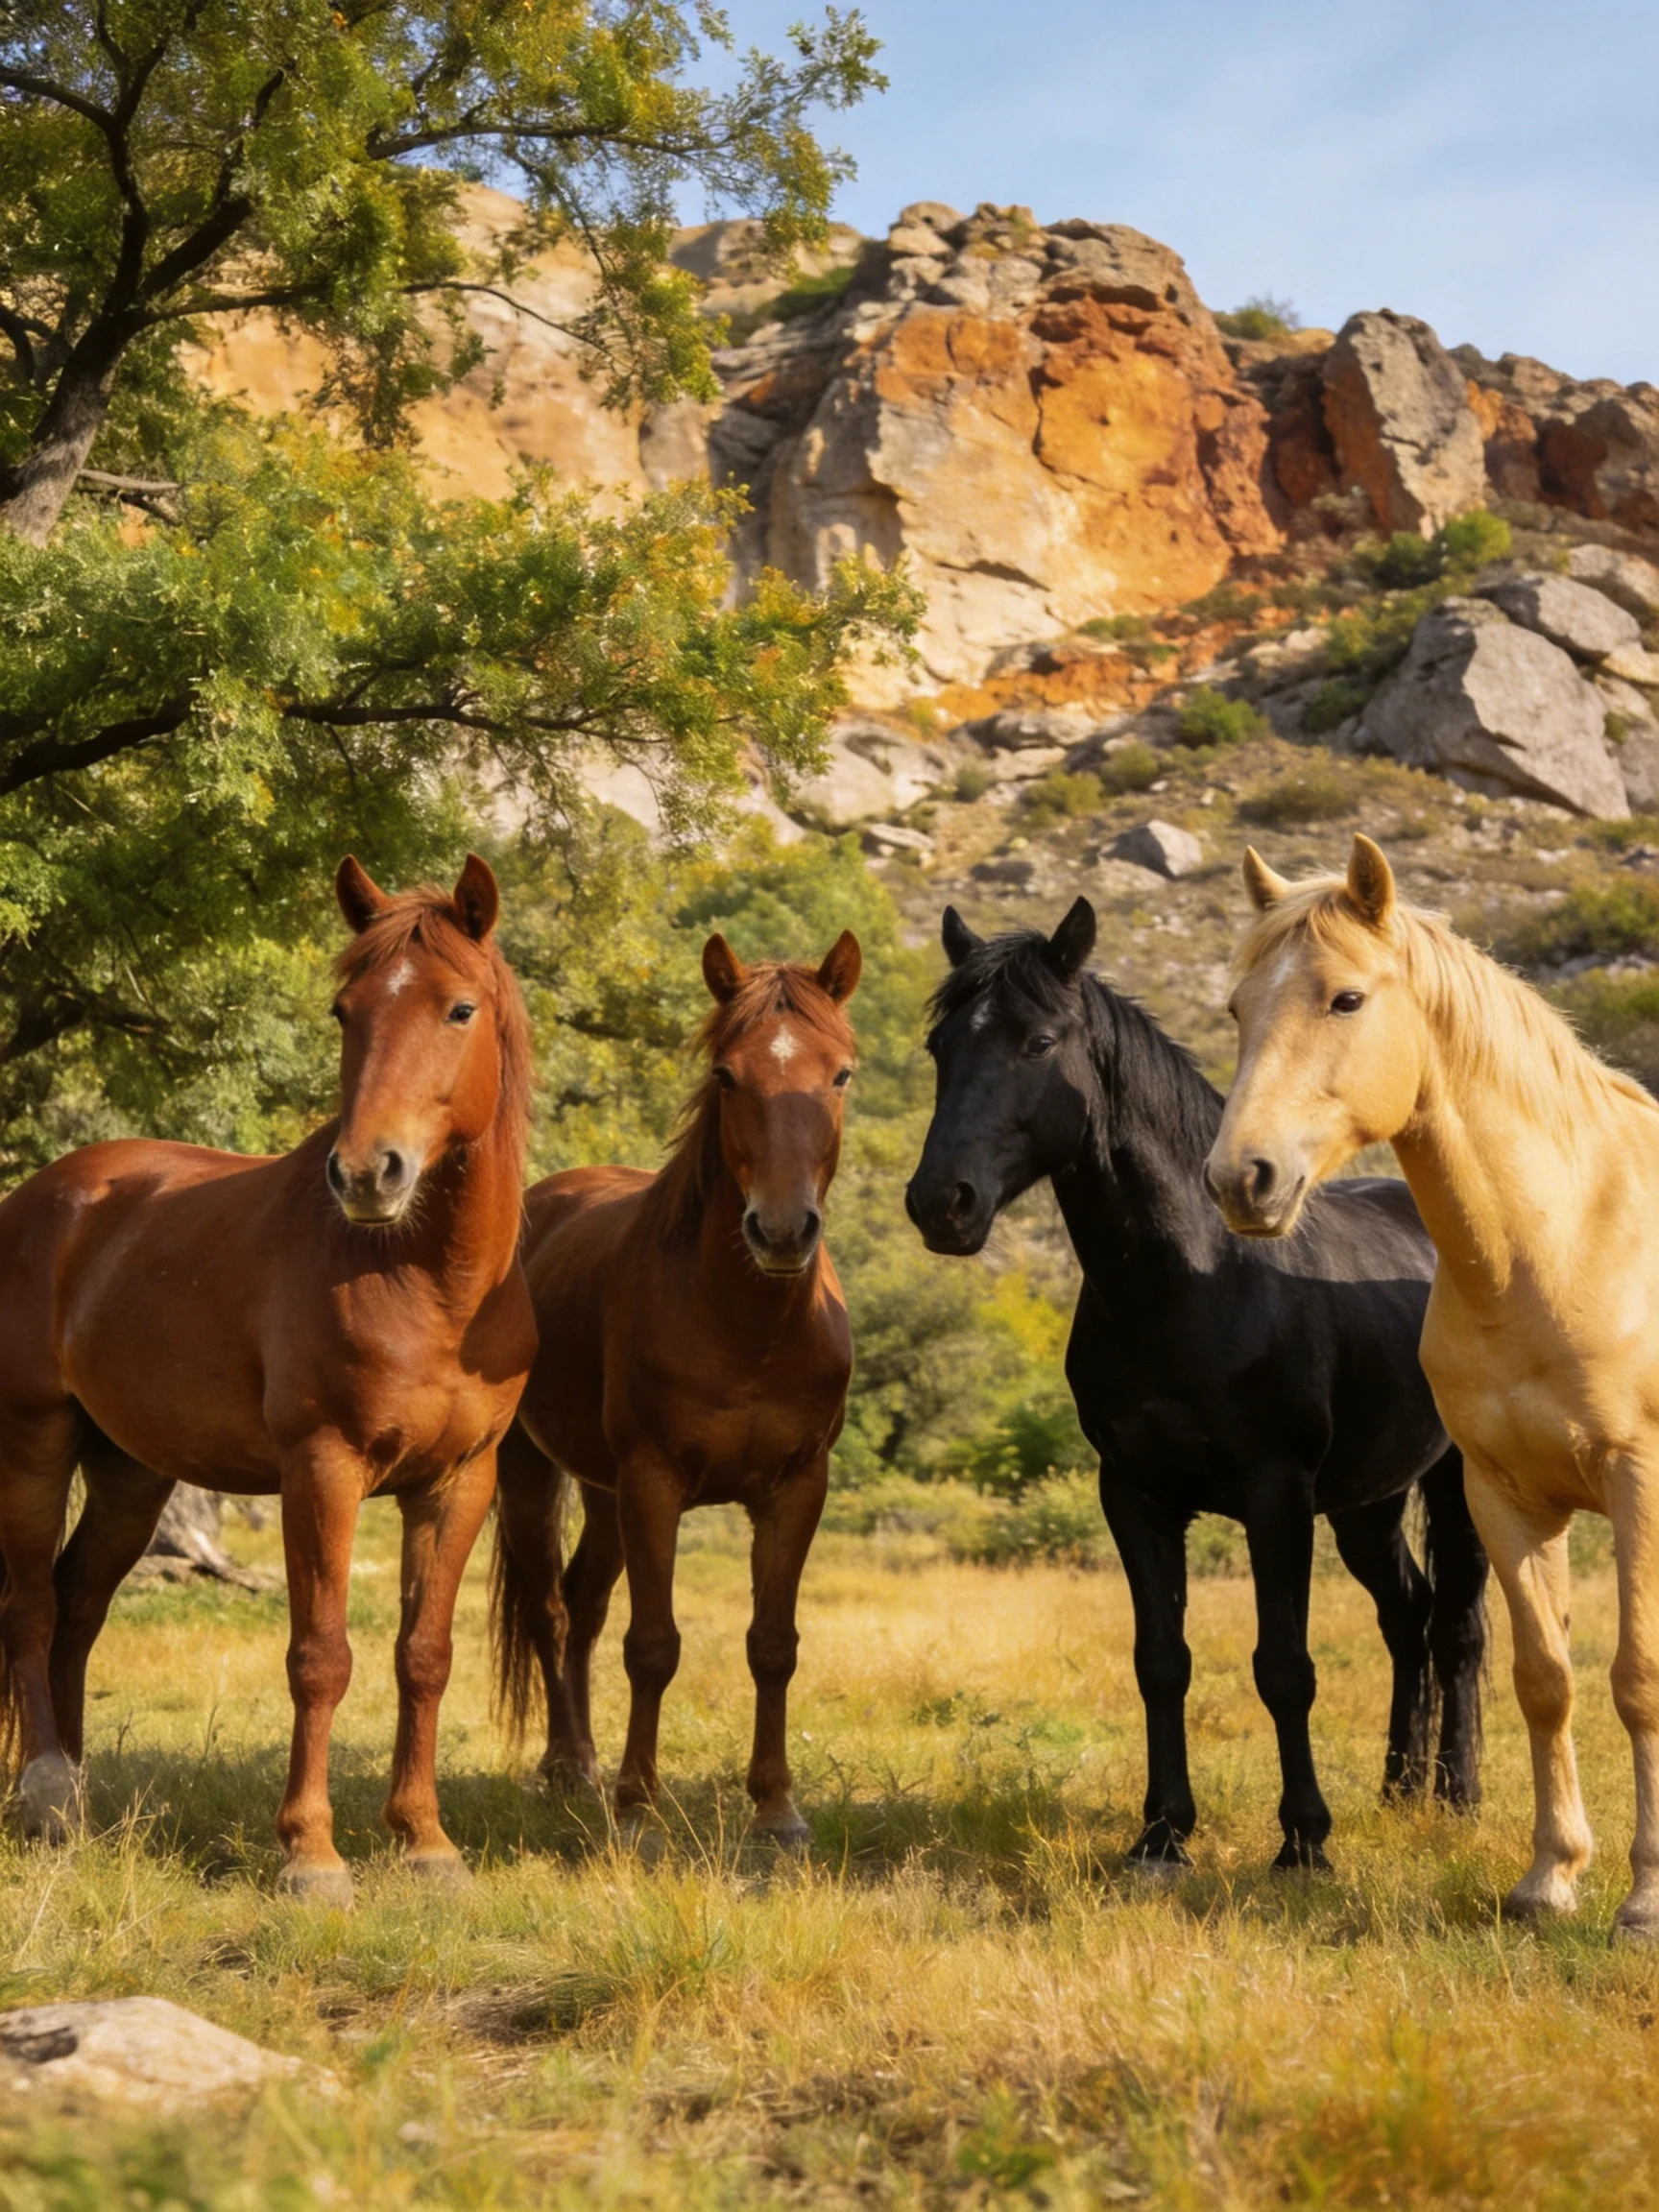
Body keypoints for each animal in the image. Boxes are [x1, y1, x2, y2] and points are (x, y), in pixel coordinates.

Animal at [0, 855, 535, 1905]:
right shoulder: (320, 1469)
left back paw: (73, 1795)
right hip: (34, 1440)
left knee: (76, 1606)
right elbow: (320, 1655)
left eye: (459, 1009)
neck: (428, 1281)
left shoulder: (460, 1484)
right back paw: (42, 1794)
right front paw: (310, 1855)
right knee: (32, 1604)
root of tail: (44, 1196)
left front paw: (425, 1843)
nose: (367, 1173)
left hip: (130, 1473)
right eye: (344, 1011)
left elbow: (425, 1655)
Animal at [491, 929, 860, 1845]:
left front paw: (777, 1808)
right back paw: (571, 1768)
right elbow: (652, 1645)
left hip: (603, 1493)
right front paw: (637, 1808)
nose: (781, 1231)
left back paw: (582, 1761)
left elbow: (774, 1644)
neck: (749, 1329)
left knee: (582, 1604)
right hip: (531, 1476)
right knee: (551, 1611)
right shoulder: (654, 1482)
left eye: (841, 1074)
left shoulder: (796, 1487)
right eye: (727, 1075)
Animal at [906, 898, 1487, 1872]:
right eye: (940, 1045)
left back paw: (1457, 1796)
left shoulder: (1276, 1496)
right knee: (1409, 1615)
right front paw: (1162, 1833)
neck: (1198, 1280)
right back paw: (1399, 1790)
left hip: (1456, 1481)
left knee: (1459, 1627)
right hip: (1368, 1502)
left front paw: (1303, 1841)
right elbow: (1161, 1660)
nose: (940, 1203)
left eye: (1038, 1041)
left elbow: (1284, 1667)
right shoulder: (1135, 1495)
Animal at [1208, 833, 1659, 1941]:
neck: (1562, 1243)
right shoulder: (1504, 1497)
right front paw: (1550, 1879)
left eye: (1346, 999)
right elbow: (1545, 1680)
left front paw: (1641, 1898)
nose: (1241, 1179)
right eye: (1237, 1009)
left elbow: (1633, 1679)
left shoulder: (1634, 1483)